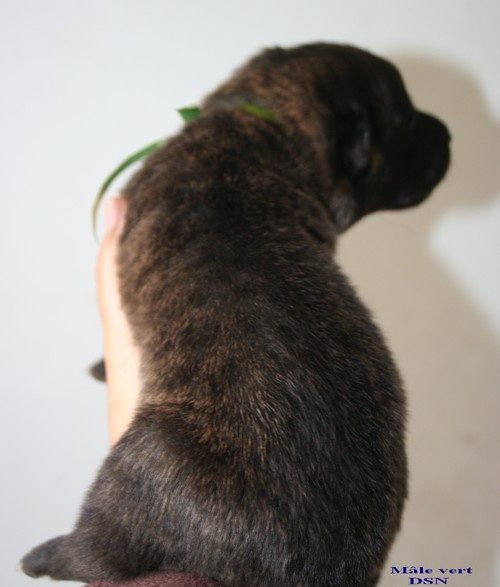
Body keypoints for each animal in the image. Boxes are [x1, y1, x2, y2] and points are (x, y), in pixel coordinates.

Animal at [20, 43, 450, 587]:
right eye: (406, 121)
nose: (449, 135)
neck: (269, 119)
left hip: (142, 463)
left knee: (98, 551)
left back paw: (42, 555)